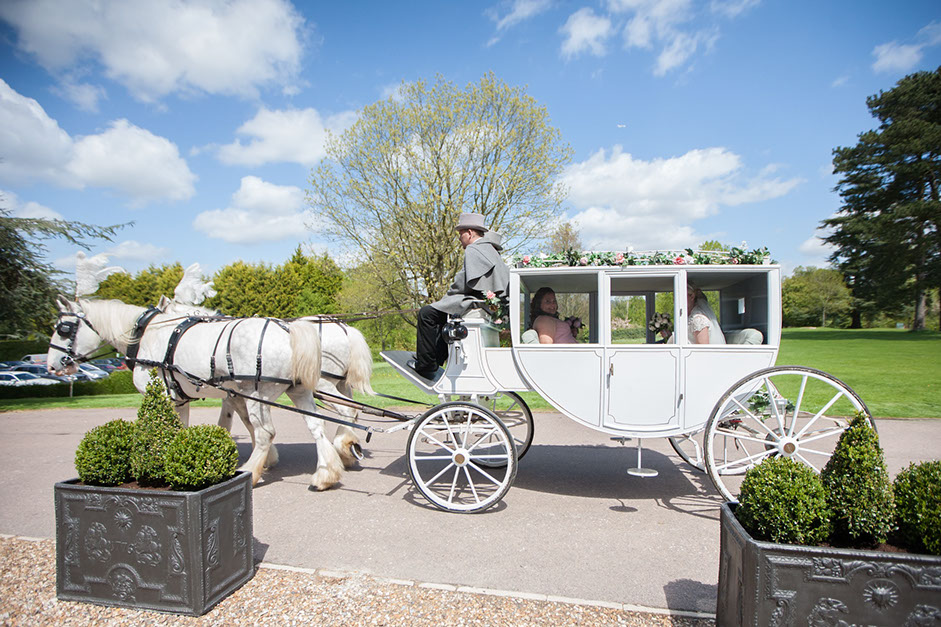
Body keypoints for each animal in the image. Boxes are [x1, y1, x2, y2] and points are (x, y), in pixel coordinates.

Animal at [47, 296, 345, 490]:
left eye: (63, 328)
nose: (52, 365)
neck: (147, 335)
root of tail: (289, 330)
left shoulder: (168, 396)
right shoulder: (218, 395)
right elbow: (223, 423)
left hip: (259, 390)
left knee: (266, 432)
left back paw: (251, 472)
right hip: (298, 390)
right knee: (316, 426)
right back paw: (325, 474)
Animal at [155, 295, 375, 469]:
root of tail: (342, 327)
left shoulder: (237, 392)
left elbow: (237, 420)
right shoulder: (234, 393)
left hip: (324, 383)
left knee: (348, 410)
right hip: (340, 384)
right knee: (351, 411)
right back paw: (347, 449)